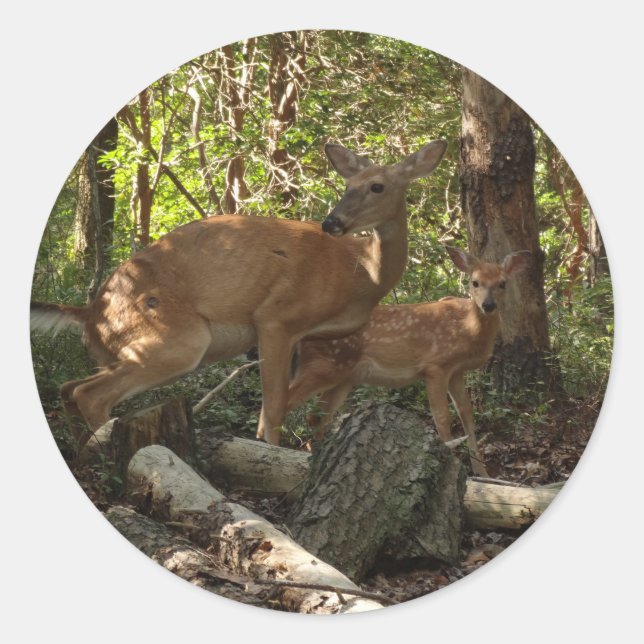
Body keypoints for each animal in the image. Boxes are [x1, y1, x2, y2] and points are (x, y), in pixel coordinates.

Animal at [30, 140, 447, 450]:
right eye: (348, 186)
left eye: (377, 186)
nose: (332, 222)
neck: (361, 272)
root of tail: (90, 313)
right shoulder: (277, 316)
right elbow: (275, 405)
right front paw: (274, 454)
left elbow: (278, 407)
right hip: (178, 338)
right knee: (90, 394)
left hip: (123, 348)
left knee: (69, 387)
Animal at [285, 246, 531, 476]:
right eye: (475, 282)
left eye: (502, 283)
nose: (488, 305)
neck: (467, 328)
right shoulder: (436, 365)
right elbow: (442, 417)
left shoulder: (456, 371)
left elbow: (467, 414)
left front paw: (482, 473)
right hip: (323, 365)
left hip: (343, 376)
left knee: (316, 417)